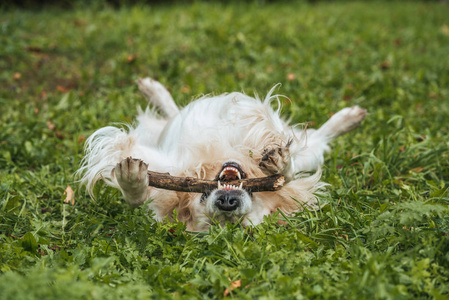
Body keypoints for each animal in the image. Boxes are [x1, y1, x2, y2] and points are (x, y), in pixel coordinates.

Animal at [79, 78, 366, 231]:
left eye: (241, 226)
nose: (228, 202)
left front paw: (278, 164)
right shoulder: (167, 161)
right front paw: (133, 181)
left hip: (313, 155)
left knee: (320, 139)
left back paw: (349, 118)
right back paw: (153, 89)